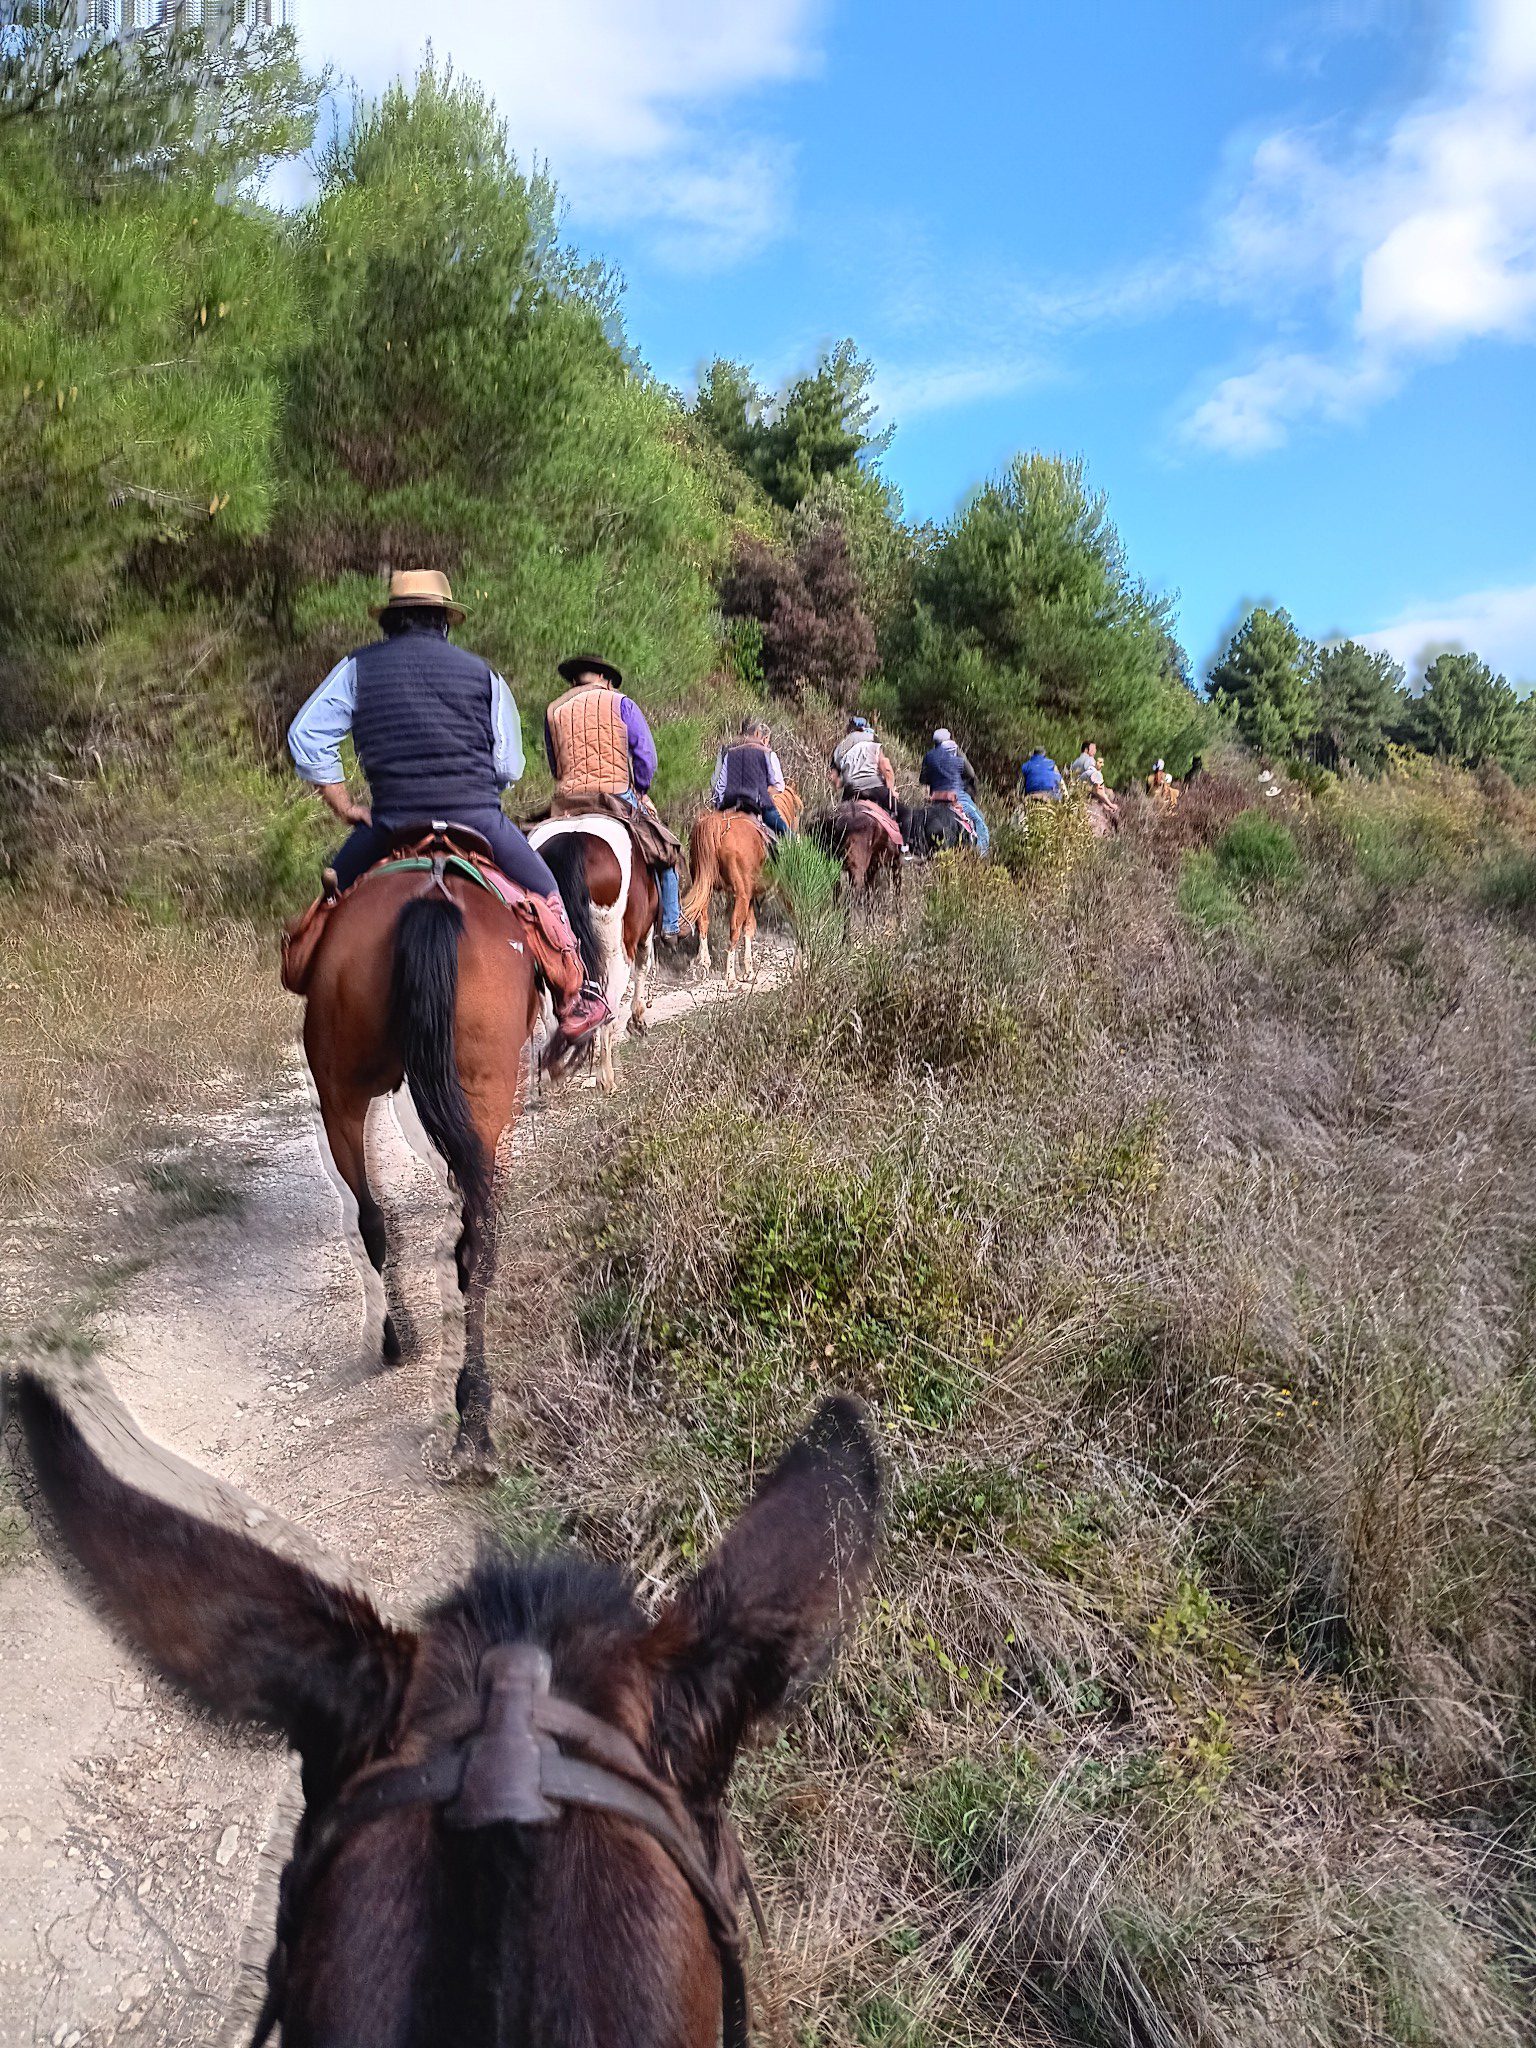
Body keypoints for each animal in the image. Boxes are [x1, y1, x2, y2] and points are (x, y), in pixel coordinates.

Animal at [300, 831, 540, 1475]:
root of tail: (430, 897)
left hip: (339, 1090)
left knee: (372, 1218)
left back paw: (395, 1340)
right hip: (486, 1092)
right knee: (476, 1245)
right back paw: (473, 1418)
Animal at [531, 816, 659, 1093]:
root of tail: (573, 840)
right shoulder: (644, 934)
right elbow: (642, 969)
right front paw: (637, 1023)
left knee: (548, 1013)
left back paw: (552, 1075)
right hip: (615, 951)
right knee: (610, 1003)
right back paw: (605, 1076)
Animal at [682, 786, 803, 988]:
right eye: (798, 809)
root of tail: (717, 826)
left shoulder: (750, 896)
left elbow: (749, 927)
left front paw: (748, 970)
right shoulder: (752, 894)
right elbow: (747, 928)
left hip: (705, 888)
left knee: (703, 921)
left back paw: (703, 964)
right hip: (741, 895)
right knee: (733, 929)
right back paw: (730, 977)